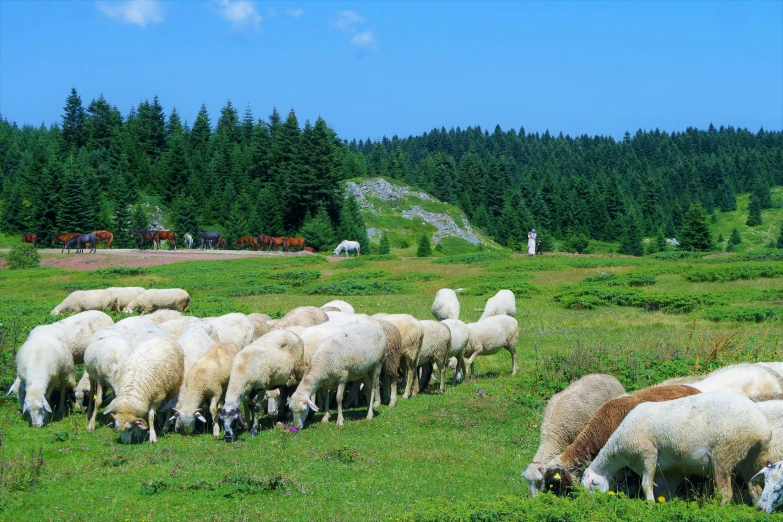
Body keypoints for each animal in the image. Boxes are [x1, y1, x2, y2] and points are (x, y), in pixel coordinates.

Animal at [580, 392, 772, 502]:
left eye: (591, 486)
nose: (593, 505)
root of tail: (761, 427)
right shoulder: (671, 468)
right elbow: (665, 490)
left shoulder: (648, 453)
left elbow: (646, 484)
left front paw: (650, 505)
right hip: (753, 457)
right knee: (755, 489)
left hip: (724, 453)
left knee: (726, 493)